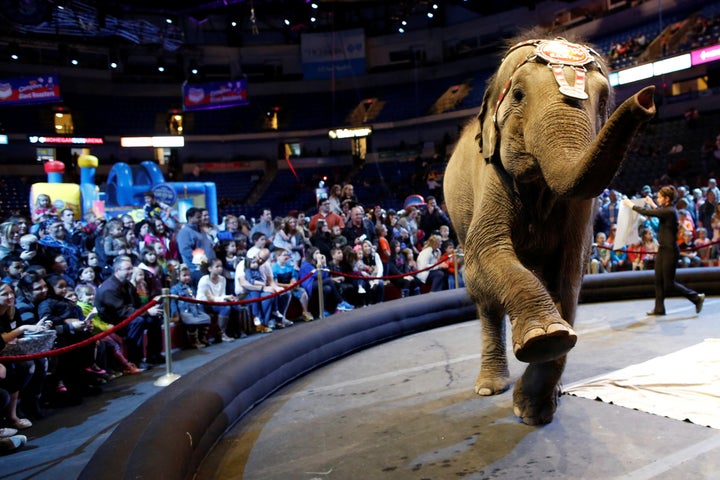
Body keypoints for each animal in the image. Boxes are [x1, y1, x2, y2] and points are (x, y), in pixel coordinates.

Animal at [442, 35, 656, 426]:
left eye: (603, 100)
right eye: (518, 95)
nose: (647, 97)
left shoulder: (581, 209)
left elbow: (570, 271)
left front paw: (533, 409)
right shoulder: (491, 173)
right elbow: (486, 250)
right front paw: (545, 338)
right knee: (482, 296)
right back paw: (489, 387)